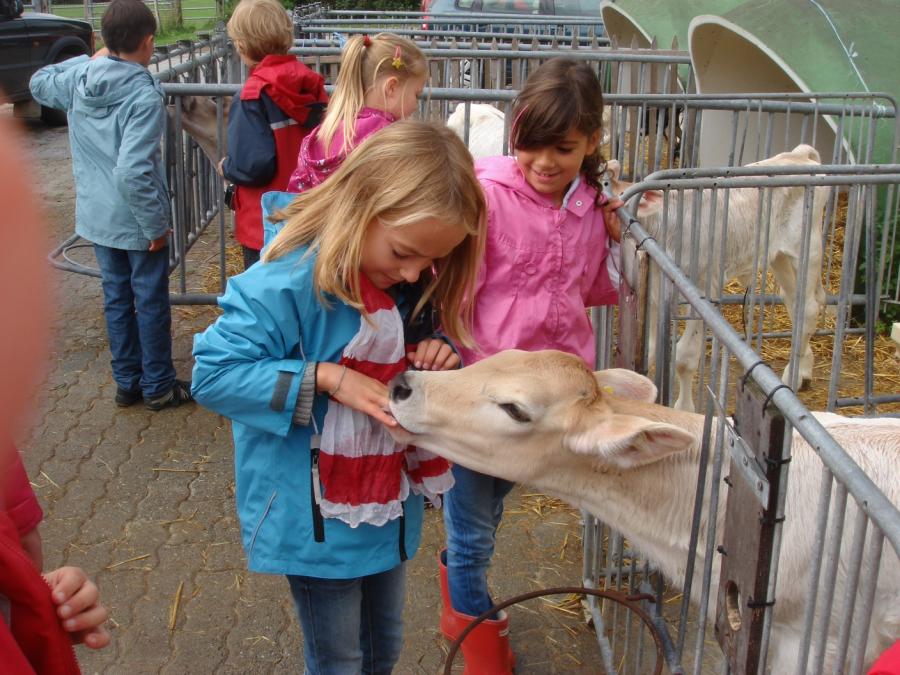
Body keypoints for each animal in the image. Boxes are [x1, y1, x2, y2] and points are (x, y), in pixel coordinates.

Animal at [608, 145, 828, 412]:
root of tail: (800, 154)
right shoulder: (652, 291)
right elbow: (649, 349)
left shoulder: (704, 288)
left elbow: (685, 357)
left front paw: (684, 408)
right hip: (779, 257)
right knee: (794, 302)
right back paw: (804, 370)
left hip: (807, 248)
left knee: (808, 309)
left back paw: (791, 378)